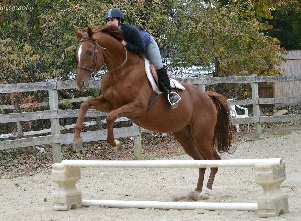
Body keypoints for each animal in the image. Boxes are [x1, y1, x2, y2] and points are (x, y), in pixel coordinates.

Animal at [72, 25, 232, 197]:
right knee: (201, 160)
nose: (80, 83)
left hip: (202, 136)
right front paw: (76, 139)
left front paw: (116, 144)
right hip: (185, 136)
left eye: (89, 52)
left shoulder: (137, 107)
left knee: (214, 158)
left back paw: (207, 191)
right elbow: (85, 104)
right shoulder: (109, 103)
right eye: (77, 53)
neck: (121, 71)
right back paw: (196, 191)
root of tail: (207, 97)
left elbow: (110, 117)